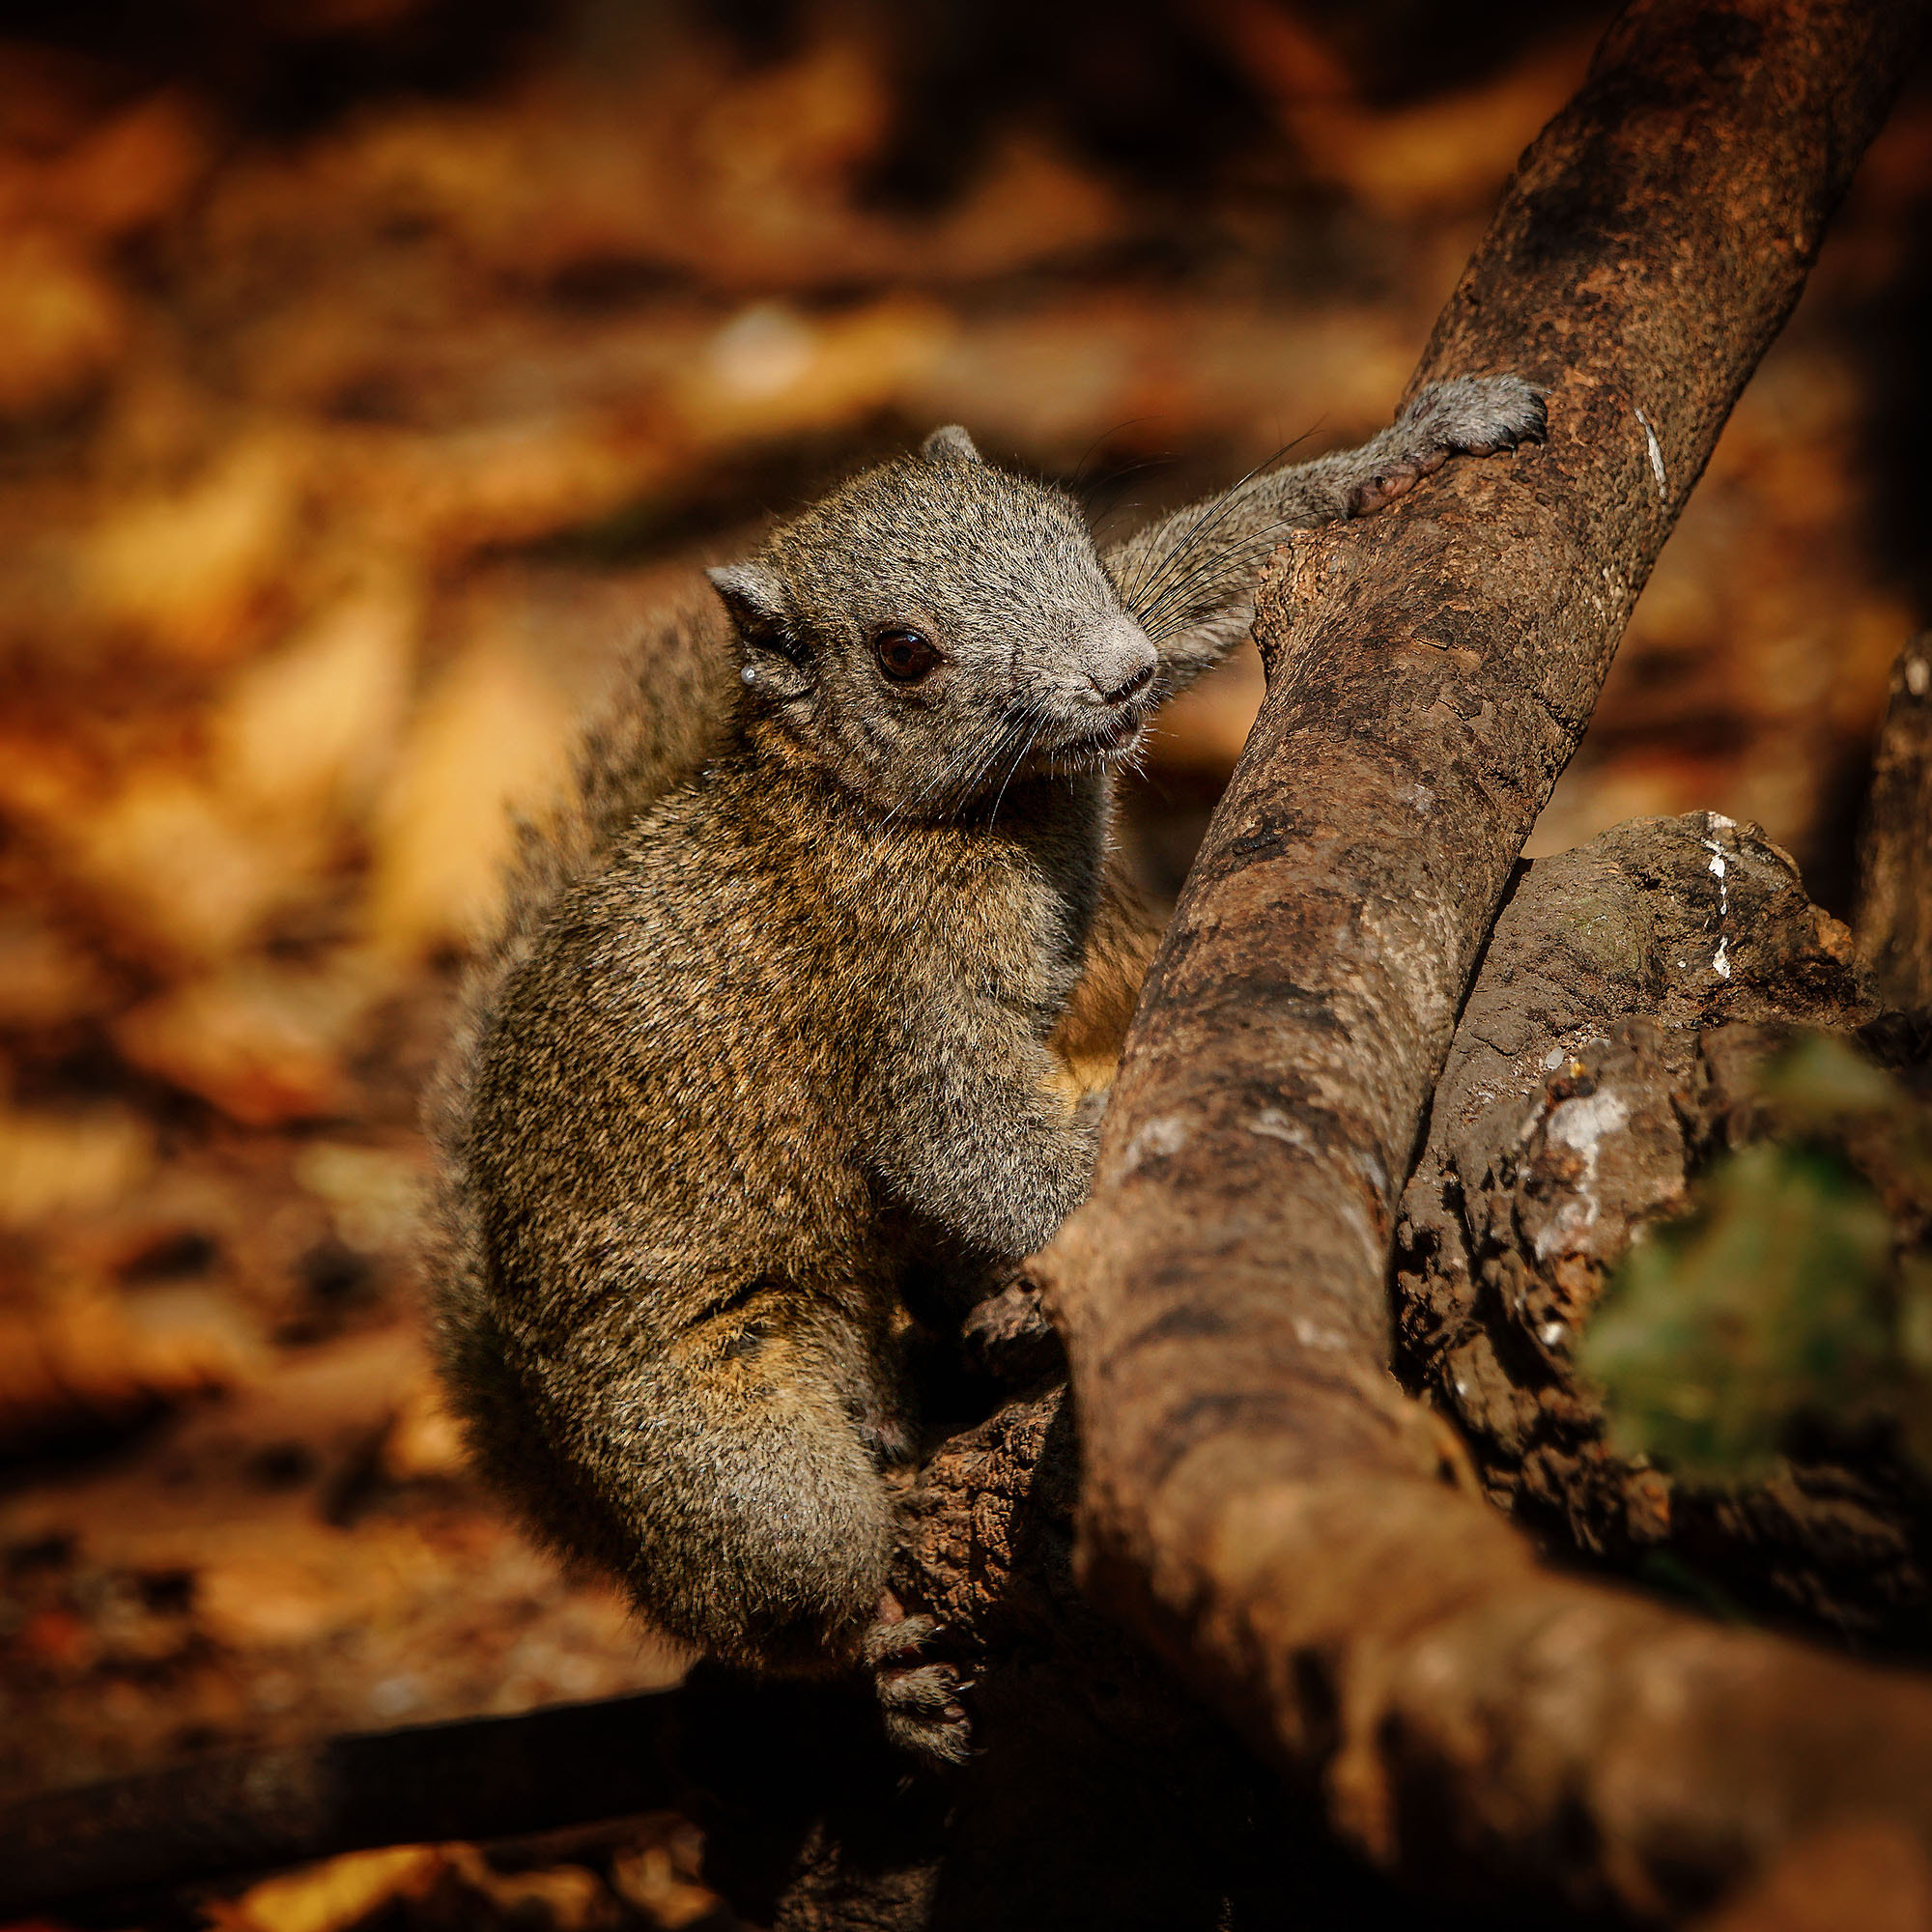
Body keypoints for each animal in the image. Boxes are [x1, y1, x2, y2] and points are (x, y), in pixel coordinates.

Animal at [423, 369, 1538, 1762]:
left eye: (1058, 522)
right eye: (903, 654)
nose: (1117, 676)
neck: (907, 810)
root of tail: (542, 1447)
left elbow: (1192, 572)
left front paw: (1416, 440)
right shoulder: (899, 995)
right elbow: (960, 1144)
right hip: (723, 1444)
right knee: (776, 1587)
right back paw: (879, 1670)